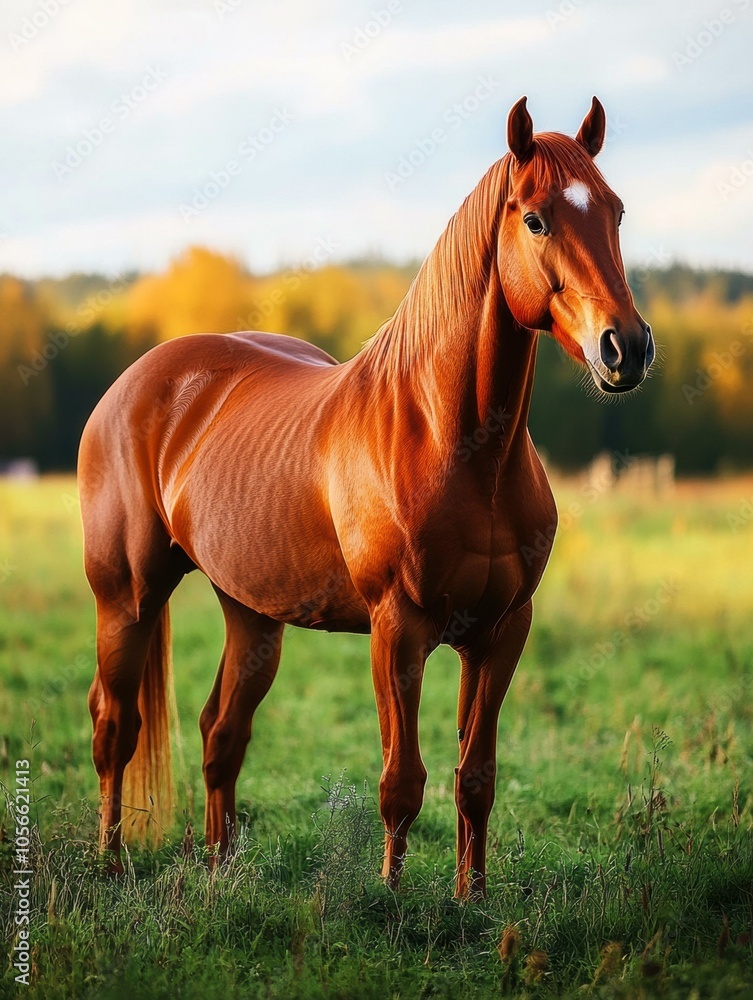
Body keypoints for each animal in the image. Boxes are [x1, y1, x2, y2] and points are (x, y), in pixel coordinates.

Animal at [79, 96, 654, 898]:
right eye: (536, 219)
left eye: (615, 210)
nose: (624, 348)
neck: (455, 443)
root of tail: (135, 382)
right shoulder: (398, 630)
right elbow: (400, 781)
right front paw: (390, 898)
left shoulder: (502, 630)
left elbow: (475, 777)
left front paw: (470, 899)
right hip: (126, 599)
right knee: (115, 728)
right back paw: (110, 864)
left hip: (252, 614)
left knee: (221, 732)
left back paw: (221, 870)